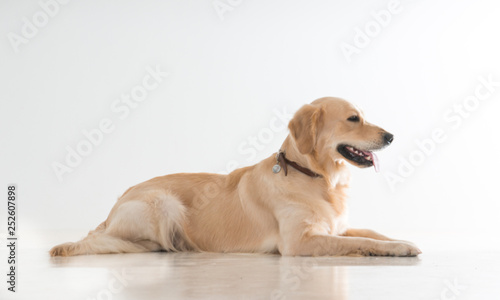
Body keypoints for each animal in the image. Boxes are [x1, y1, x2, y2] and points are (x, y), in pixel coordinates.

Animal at [50, 97, 420, 256]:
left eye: (363, 116)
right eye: (353, 119)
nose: (391, 136)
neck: (317, 178)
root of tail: (113, 207)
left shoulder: (337, 226)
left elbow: (371, 232)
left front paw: (403, 241)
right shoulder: (299, 242)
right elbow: (363, 242)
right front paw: (397, 248)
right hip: (163, 202)